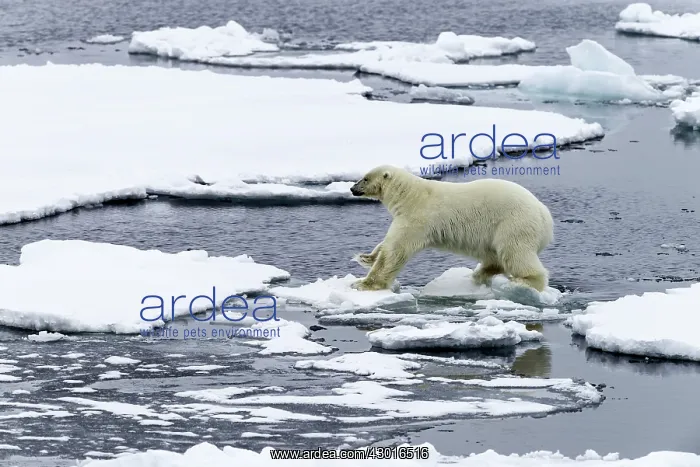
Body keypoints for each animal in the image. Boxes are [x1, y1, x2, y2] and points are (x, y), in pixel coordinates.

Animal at [349, 165, 554, 292]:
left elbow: (396, 249)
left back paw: (524, 280)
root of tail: (546, 216)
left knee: (515, 252)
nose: (352, 188)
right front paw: (365, 257)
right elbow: (387, 242)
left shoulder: (417, 217)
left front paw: (363, 284)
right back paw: (479, 274)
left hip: (514, 223)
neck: (410, 195)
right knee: (494, 255)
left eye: (365, 178)